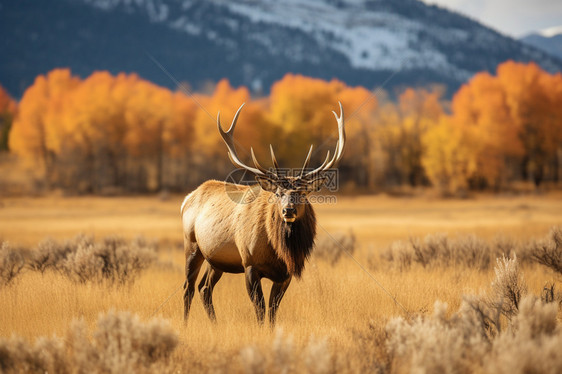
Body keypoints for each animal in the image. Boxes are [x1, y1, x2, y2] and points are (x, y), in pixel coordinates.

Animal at [182, 102, 344, 324]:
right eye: (278, 193)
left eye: (302, 193)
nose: (288, 210)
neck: (278, 251)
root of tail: (186, 199)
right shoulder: (250, 263)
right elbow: (260, 309)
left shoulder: (285, 275)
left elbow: (273, 310)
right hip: (191, 245)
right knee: (188, 288)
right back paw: (185, 324)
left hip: (216, 259)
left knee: (204, 288)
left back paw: (214, 325)